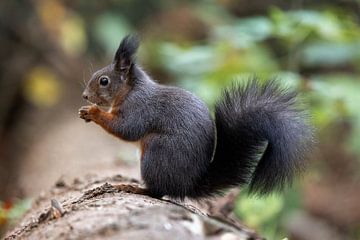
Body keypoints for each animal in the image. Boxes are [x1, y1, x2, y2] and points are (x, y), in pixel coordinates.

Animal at [78, 34, 312, 200]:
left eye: (104, 81)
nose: (85, 95)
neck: (130, 90)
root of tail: (188, 186)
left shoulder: (140, 108)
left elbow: (126, 128)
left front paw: (92, 112)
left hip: (156, 152)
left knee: (158, 192)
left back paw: (133, 188)